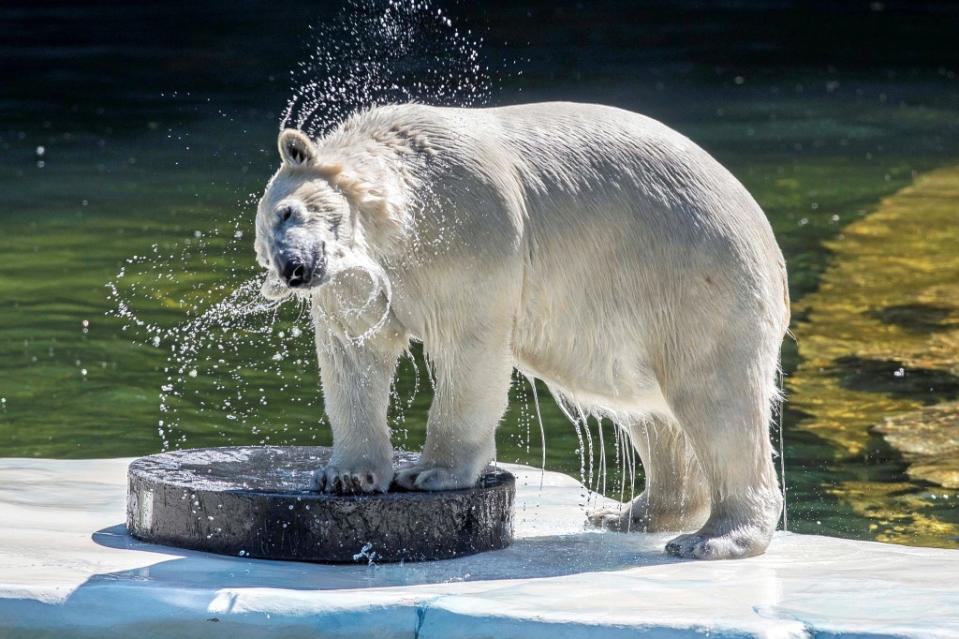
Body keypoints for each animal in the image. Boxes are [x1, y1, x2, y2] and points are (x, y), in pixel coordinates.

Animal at [253, 101, 788, 560]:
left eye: (288, 212)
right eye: (265, 245)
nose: (294, 269)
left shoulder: (469, 226)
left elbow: (468, 345)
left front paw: (427, 472)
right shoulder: (358, 273)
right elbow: (355, 351)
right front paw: (344, 476)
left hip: (697, 274)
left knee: (715, 396)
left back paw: (711, 538)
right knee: (646, 406)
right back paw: (631, 514)